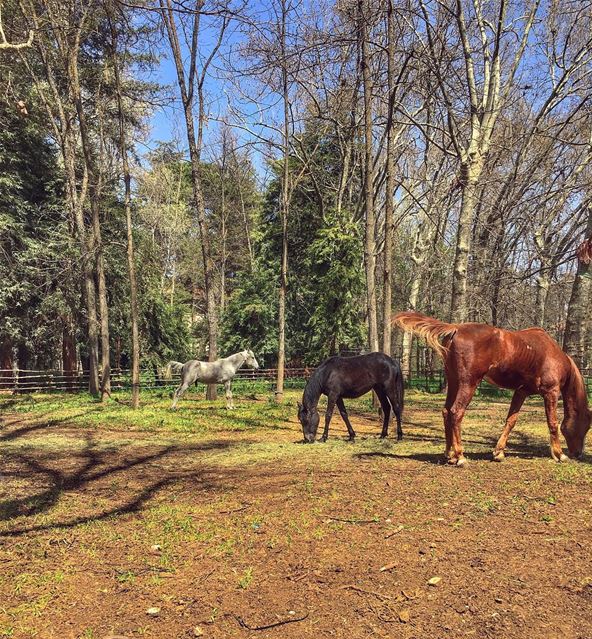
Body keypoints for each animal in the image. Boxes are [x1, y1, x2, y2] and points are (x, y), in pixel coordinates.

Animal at [390, 314, 588, 468]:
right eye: (587, 426)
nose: (578, 454)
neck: (554, 355)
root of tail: (455, 328)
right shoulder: (551, 392)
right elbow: (553, 423)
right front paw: (559, 454)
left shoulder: (521, 392)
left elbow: (511, 421)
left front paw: (498, 452)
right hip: (468, 383)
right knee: (456, 412)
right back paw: (460, 456)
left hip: (454, 382)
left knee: (446, 412)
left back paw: (450, 454)